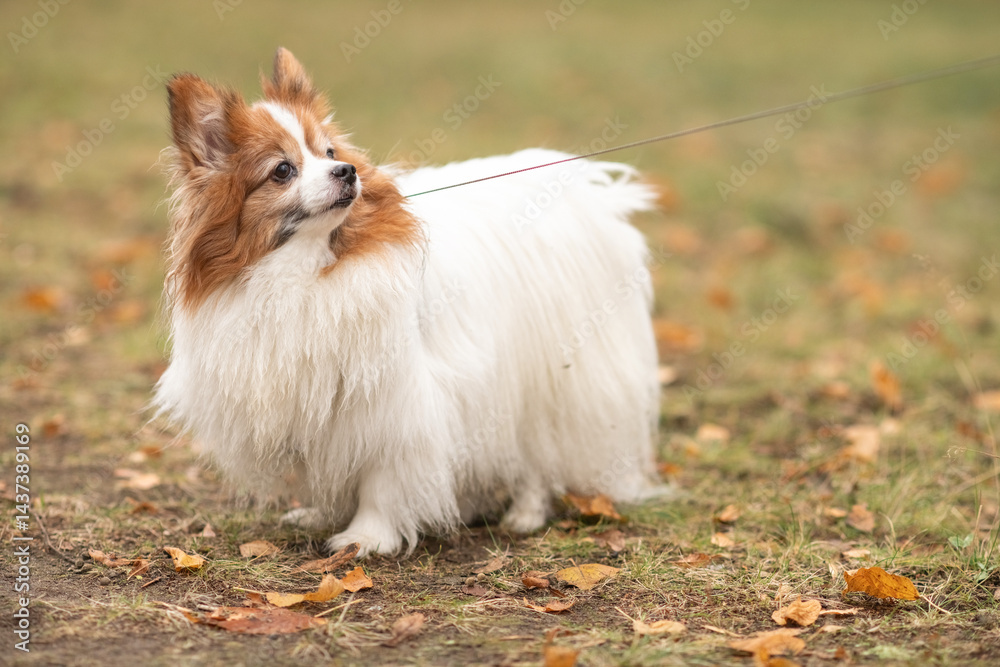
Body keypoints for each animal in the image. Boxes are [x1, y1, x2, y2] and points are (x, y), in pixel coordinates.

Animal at [153, 48, 661, 556]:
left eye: (329, 154)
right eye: (282, 170)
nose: (348, 172)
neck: (305, 272)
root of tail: (590, 191)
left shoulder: (398, 401)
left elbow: (382, 474)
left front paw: (367, 535)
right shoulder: (312, 401)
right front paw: (320, 513)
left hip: (547, 377)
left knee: (537, 453)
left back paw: (526, 514)